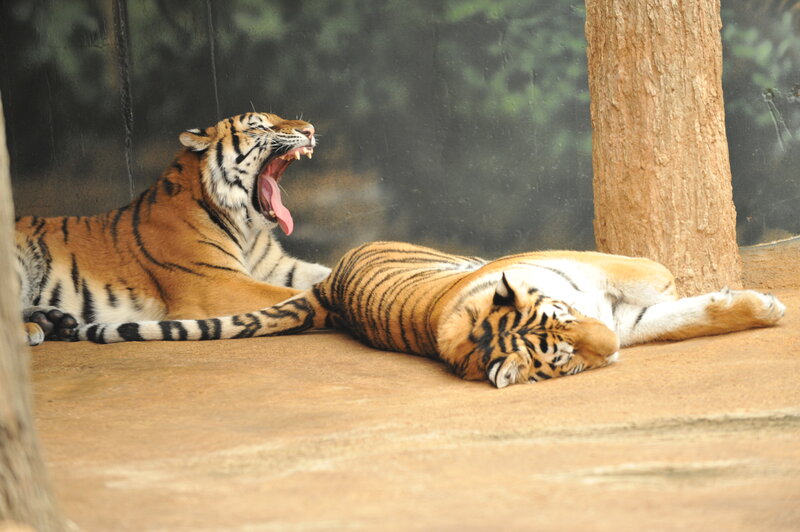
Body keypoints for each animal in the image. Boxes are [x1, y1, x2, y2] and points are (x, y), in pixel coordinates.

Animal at [15, 112, 331, 346]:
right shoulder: (219, 284)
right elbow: (288, 296)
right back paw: (32, 329)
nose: (311, 130)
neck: (248, 229)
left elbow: (321, 274)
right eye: (258, 126)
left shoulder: (279, 268)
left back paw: (53, 321)